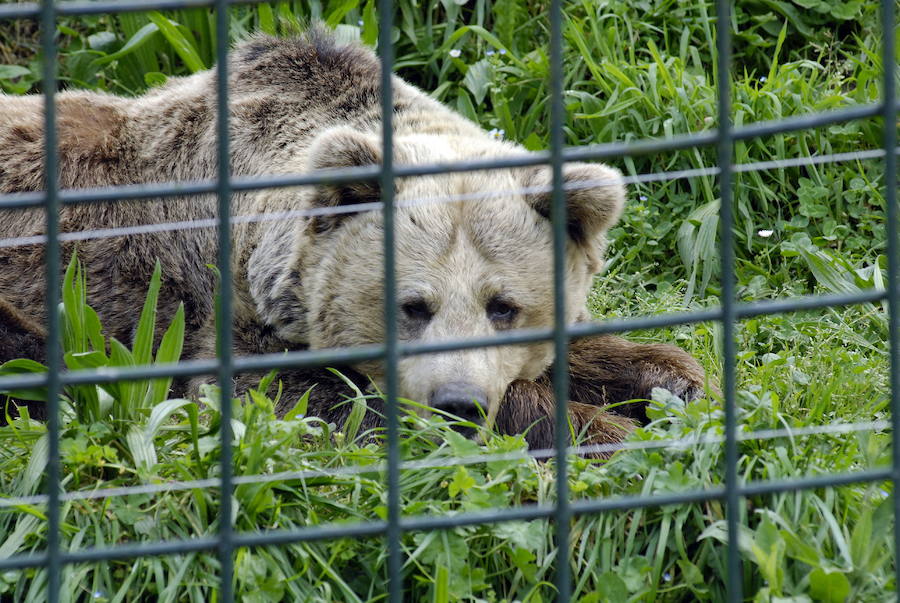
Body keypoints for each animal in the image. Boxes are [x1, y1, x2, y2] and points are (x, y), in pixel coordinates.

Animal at [0, 28, 712, 452]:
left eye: (504, 306)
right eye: (412, 306)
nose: (457, 403)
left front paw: (666, 376)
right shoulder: (222, 315)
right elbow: (304, 400)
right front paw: (606, 428)